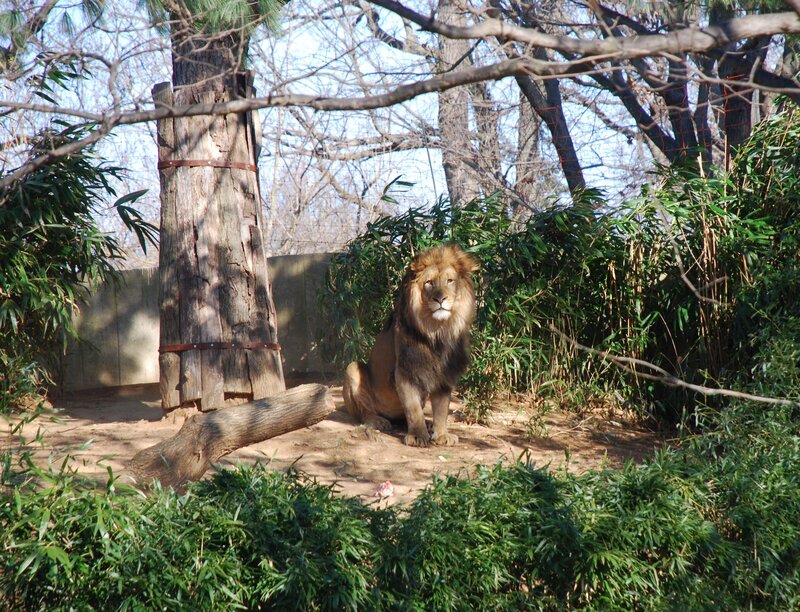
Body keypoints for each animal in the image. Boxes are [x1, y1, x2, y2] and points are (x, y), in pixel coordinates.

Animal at [342, 244, 479, 447]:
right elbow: (413, 408)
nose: (440, 299)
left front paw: (442, 434)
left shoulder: (444, 372)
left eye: (449, 281)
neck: (437, 331)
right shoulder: (405, 371)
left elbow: (441, 409)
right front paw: (417, 436)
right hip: (352, 367)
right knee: (365, 413)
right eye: (429, 283)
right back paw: (378, 421)